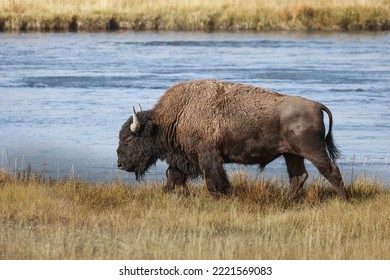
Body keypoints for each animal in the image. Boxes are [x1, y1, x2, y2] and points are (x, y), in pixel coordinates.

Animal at [116, 80, 348, 200]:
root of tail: (317, 105)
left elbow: (214, 179)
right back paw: (285, 200)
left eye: (128, 139)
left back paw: (344, 200)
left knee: (331, 171)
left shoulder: (207, 156)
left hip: (313, 151)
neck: (176, 116)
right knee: (298, 176)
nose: (120, 164)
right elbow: (172, 175)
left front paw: (222, 195)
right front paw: (167, 193)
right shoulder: (184, 158)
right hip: (291, 154)